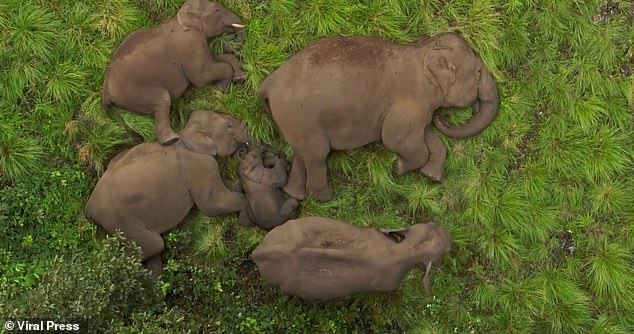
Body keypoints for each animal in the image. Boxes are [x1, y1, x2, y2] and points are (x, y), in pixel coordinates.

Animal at [83, 111, 249, 276]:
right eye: (228, 126)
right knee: (154, 245)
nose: (244, 148)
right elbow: (212, 205)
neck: (186, 133)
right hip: (119, 219)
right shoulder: (199, 165)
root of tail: (89, 208)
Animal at [101, 0, 244, 145]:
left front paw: (238, 78)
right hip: (134, 93)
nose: (234, 36)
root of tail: (105, 92)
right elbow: (202, 76)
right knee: (162, 99)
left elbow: (217, 59)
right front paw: (223, 89)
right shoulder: (190, 43)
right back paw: (171, 140)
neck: (181, 17)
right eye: (217, 10)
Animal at [249, 217, 452, 300]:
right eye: (445, 253)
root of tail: (258, 252)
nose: (451, 238)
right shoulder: (389, 283)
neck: (400, 252)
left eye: (432, 225)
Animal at [258, 32, 498, 202]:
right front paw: (398, 169)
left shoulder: (420, 110)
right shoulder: (409, 104)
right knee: (317, 154)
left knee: (302, 153)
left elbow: (430, 138)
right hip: (300, 115)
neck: (422, 50)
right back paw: (325, 197)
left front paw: (430, 176)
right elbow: (395, 139)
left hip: (293, 120)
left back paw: (295, 194)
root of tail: (268, 83)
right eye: (478, 73)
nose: (444, 118)